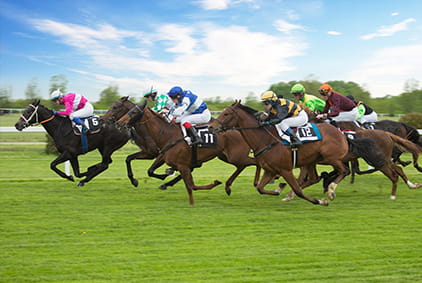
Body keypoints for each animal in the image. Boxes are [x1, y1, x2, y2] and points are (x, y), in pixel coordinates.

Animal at [116, 105, 260, 205]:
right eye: (127, 111)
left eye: (133, 112)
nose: (118, 123)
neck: (167, 134)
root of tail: (238, 128)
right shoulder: (164, 156)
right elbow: (150, 170)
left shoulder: (181, 164)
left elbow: (191, 185)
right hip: (227, 156)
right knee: (242, 165)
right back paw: (229, 186)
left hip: (236, 156)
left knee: (255, 162)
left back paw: (256, 182)